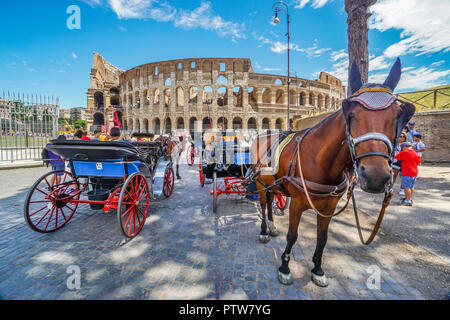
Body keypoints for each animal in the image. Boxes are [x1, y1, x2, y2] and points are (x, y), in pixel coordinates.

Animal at [250, 58, 414, 286]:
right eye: (351, 115)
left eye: (398, 116)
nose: (375, 177)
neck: (319, 160)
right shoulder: (297, 204)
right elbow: (292, 235)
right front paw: (284, 267)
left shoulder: (329, 207)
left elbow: (322, 239)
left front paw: (318, 270)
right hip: (260, 182)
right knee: (265, 204)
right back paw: (265, 230)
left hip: (274, 183)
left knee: (272, 199)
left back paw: (273, 227)